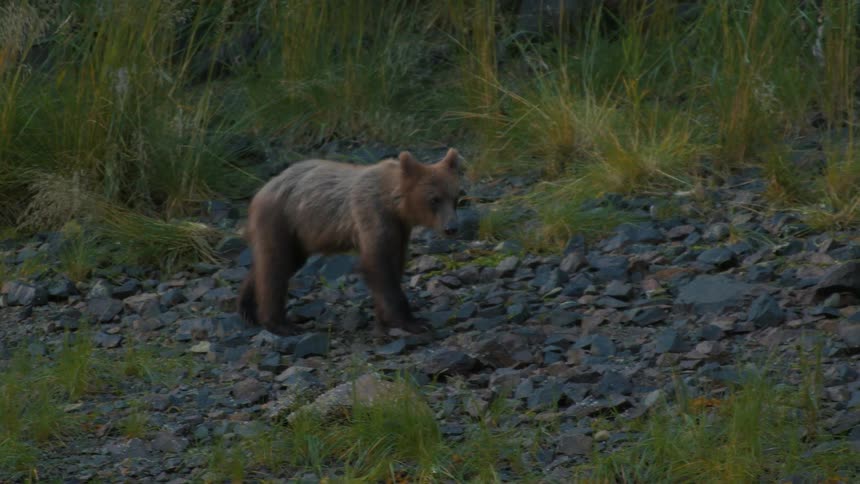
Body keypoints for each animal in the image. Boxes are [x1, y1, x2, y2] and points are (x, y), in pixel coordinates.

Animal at [237, 148, 463, 337]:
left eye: (455, 198)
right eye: (434, 199)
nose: (452, 227)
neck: (394, 203)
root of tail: (263, 189)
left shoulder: (399, 229)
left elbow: (394, 263)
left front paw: (384, 318)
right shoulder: (373, 216)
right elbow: (378, 266)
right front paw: (412, 321)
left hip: (297, 234)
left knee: (278, 263)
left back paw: (247, 309)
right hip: (281, 219)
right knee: (275, 265)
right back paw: (279, 323)